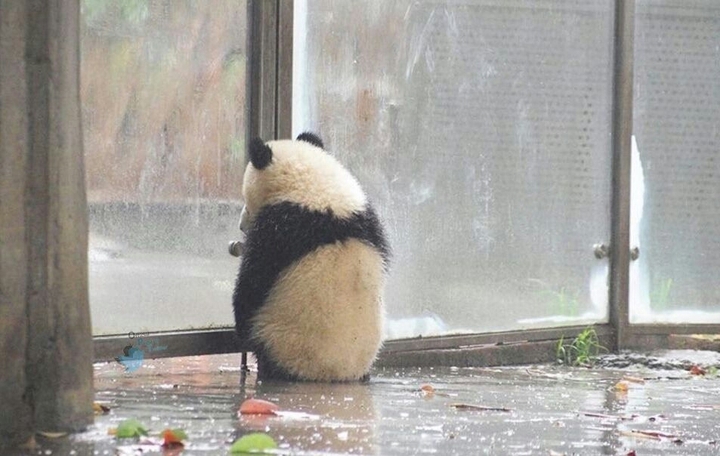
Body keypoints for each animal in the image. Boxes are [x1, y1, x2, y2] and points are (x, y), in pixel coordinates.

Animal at [232, 132, 390, 382]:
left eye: (246, 198)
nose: (241, 224)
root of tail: (338, 374)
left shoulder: (281, 230)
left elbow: (253, 281)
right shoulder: (369, 220)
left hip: (282, 338)